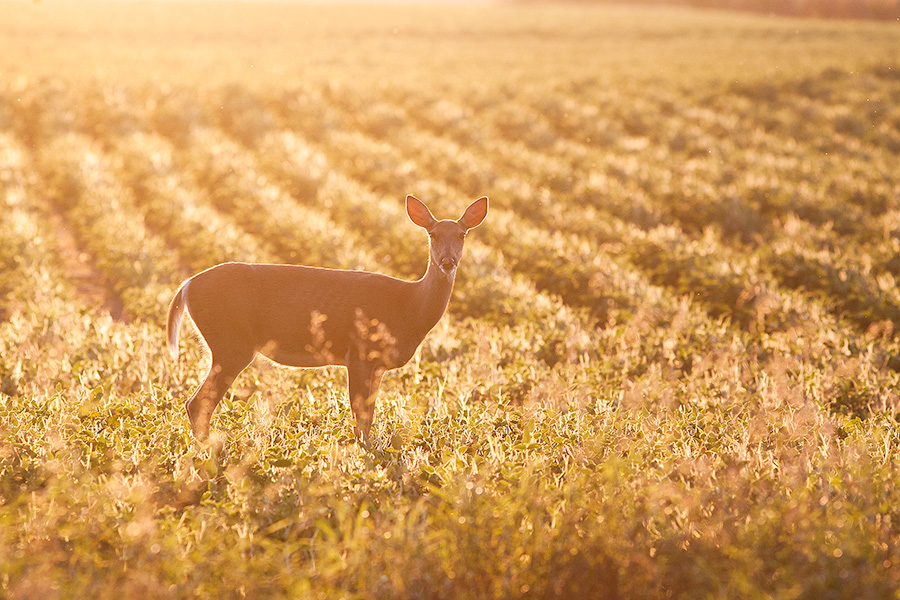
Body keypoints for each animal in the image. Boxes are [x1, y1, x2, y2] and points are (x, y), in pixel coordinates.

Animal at [165, 196, 488, 446]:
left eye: (462, 235)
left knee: (197, 403)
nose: (447, 261)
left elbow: (369, 415)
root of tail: (186, 286)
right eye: (432, 234)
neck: (409, 306)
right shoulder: (358, 353)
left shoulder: (378, 364)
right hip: (231, 342)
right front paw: (365, 457)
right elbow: (360, 418)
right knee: (197, 403)